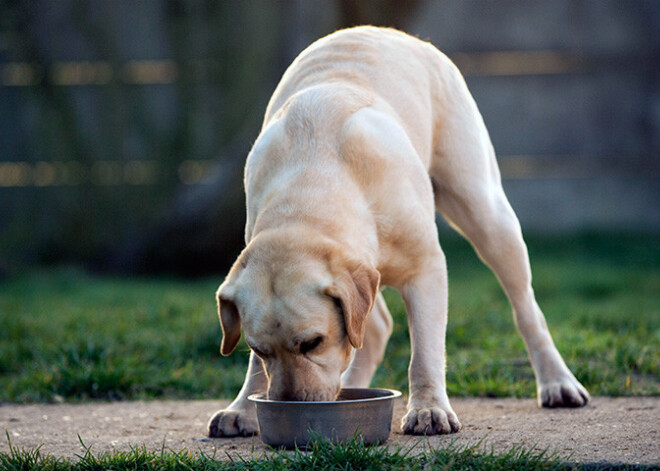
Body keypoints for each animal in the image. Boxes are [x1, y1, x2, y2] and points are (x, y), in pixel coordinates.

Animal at [208, 26, 588, 438]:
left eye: (313, 343)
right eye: (259, 349)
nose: (289, 403)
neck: (310, 190)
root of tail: (394, 33)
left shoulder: (426, 270)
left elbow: (425, 353)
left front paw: (428, 409)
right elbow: (258, 371)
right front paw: (244, 408)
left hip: (488, 216)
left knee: (527, 311)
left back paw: (557, 381)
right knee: (375, 330)